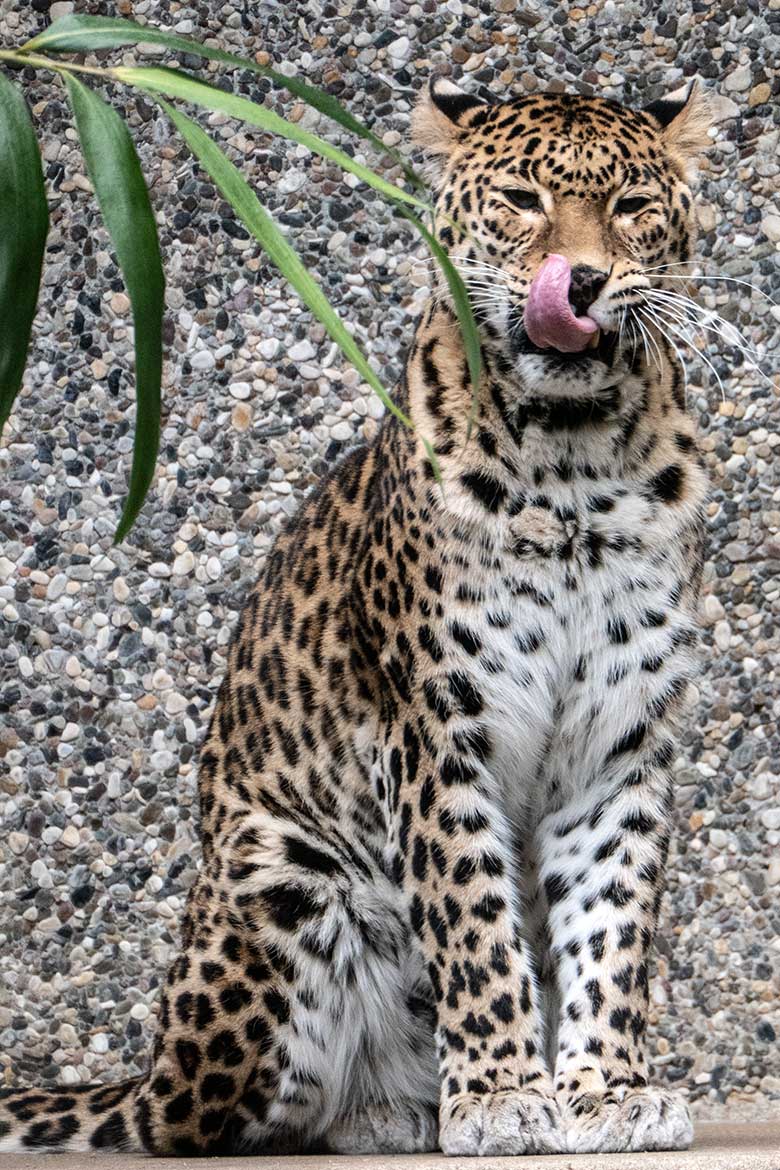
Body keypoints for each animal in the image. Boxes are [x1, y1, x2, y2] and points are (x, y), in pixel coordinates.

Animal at [3, 77, 715, 1155]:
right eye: (521, 200)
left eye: (633, 206)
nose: (583, 282)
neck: (574, 461)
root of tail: (153, 1072)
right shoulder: (431, 729)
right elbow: (474, 923)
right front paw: (503, 1095)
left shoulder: (620, 742)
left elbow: (612, 925)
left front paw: (608, 1091)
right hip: (281, 884)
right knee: (218, 1128)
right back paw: (391, 1112)